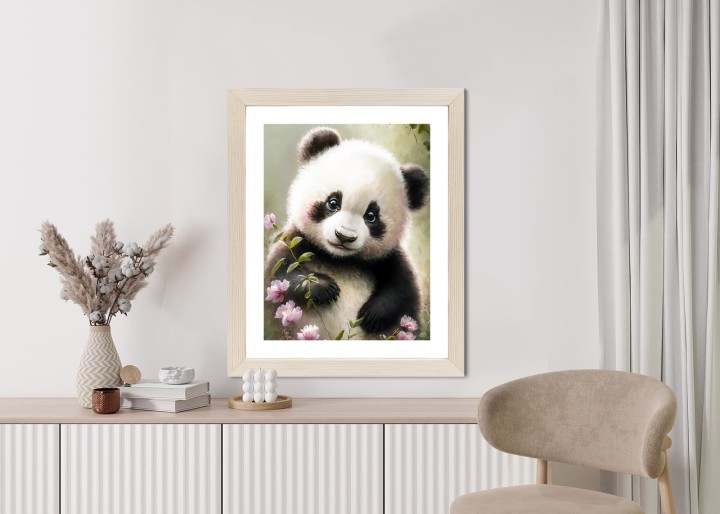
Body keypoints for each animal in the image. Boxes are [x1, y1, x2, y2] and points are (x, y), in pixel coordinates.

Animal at [265, 127, 429, 339]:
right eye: (333, 202)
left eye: (371, 216)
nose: (344, 236)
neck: (340, 260)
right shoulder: (296, 242)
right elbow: (279, 276)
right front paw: (325, 288)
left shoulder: (388, 259)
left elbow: (402, 290)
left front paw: (373, 314)